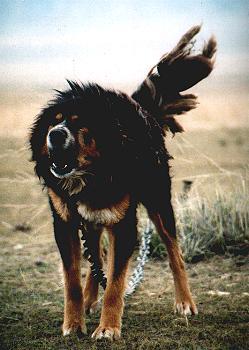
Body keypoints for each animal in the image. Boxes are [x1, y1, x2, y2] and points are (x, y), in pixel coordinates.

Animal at [29, 26, 216, 340]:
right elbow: (72, 280)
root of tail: (143, 109)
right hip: (92, 221)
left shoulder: (124, 223)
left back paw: (185, 303)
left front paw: (108, 328)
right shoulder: (65, 222)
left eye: (80, 124)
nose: (55, 134)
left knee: (174, 253)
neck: (91, 176)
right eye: (53, 122)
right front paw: (73, 323)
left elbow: (116, 282)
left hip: (158, 203)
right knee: (97, 256)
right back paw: (90, 300)